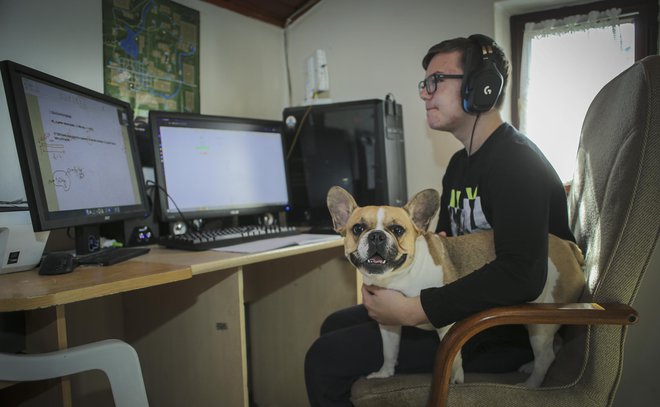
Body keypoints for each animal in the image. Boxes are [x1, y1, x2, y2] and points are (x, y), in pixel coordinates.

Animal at [328, 186, 584, 388]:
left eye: (398, 230)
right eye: (358, 229)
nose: (376, 236)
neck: (398, 278)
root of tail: (567, 246)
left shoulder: (447, 327)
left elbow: (455, 357)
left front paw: (455, 378)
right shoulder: (388, 324)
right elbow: (389, 351)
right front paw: (385, 373)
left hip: (542, 320)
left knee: (546, 356)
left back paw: (530, 385)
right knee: (553, 346)